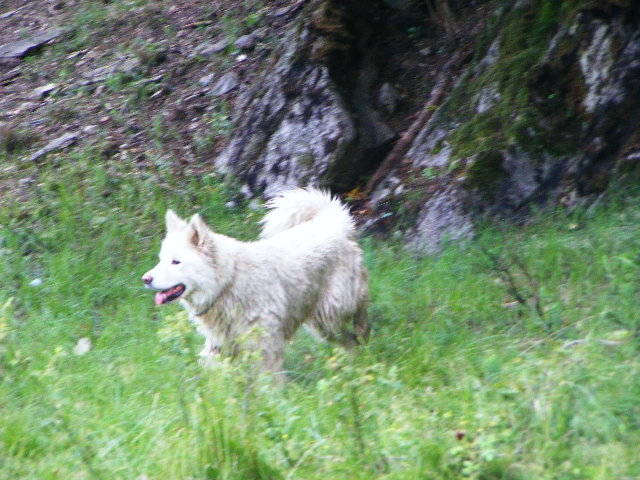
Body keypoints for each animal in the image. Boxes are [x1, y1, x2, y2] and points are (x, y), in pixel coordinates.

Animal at [142, 187, 368, 372]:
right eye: (161, 260)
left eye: (175, 262)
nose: (145, 279)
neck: (229, 283)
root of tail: (331, 223)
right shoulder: (221, 347)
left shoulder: (265, 344)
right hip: (321, 324)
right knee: (349, 341)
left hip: (333, 309)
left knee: (360, 309)